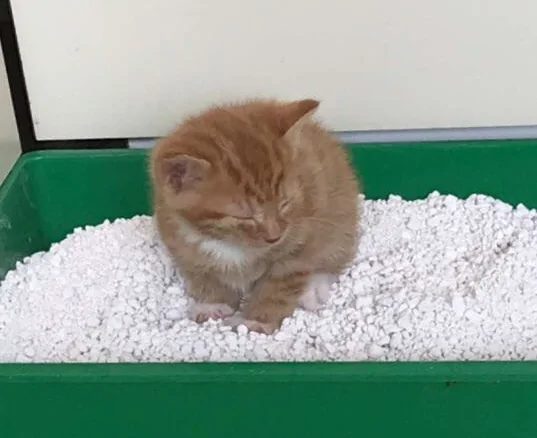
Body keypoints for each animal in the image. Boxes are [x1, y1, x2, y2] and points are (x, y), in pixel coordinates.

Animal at [149, 97, 362, 334]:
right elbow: (203, 272)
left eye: (284, 204)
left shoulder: (299, 245)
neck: (231, 244)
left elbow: (279, 285)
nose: (275, 236)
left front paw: (257, 321)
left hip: (340, 216)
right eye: (245, 216)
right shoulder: (176, 236)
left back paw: (312, 289)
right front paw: (213, 303)